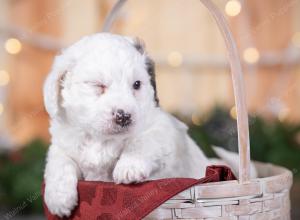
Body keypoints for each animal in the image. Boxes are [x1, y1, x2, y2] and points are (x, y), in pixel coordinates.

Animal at [42, 33, 253, 217]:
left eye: (136, 84)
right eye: (98, 85)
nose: (124, 116)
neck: (103, 139)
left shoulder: (163, 131)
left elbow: (141, 141)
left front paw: (128, 167)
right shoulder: (62, 142)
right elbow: (59, 162)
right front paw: (58, 199)